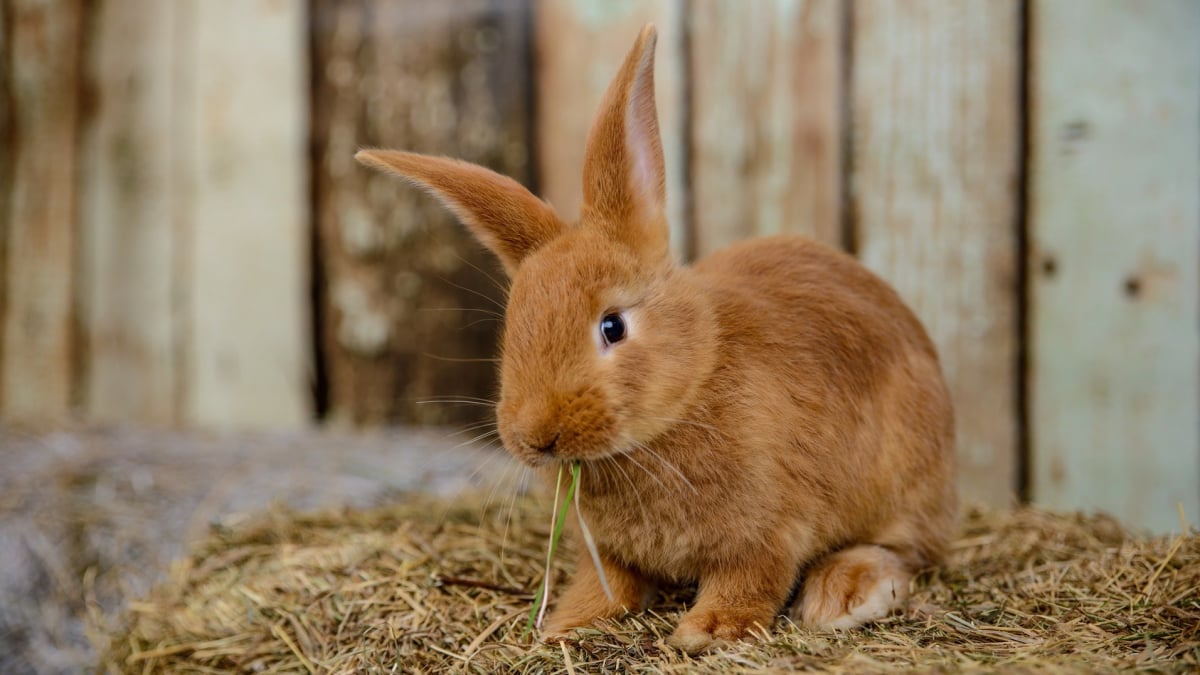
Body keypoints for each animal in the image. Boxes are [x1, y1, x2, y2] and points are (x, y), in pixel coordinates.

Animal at [355, 26, 955, 653]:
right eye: (513, 327)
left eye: (612, 326)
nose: (536, 437)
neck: (693, 385)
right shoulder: (606, 551)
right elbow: (610, 583)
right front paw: (567, 624)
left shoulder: (771, 532)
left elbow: (751, 578)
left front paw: (706, 633)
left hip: (907, 481)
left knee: (907, 550)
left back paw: (843, 595)